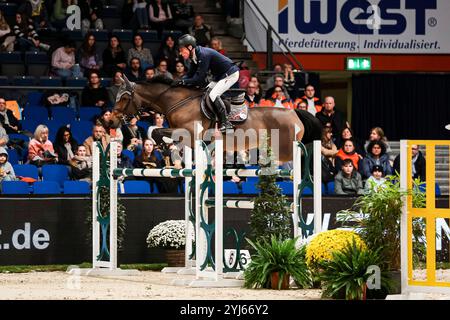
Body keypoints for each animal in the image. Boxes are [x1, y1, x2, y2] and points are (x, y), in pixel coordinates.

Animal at [109, 75, 322, 162]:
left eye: (125, 98)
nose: (110, 121)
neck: (178, 102)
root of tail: (294, 112)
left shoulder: (190, 133)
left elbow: (156, 130)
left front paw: (163, 144)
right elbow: (154, 129)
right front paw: (164, 146)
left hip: (284, 149)